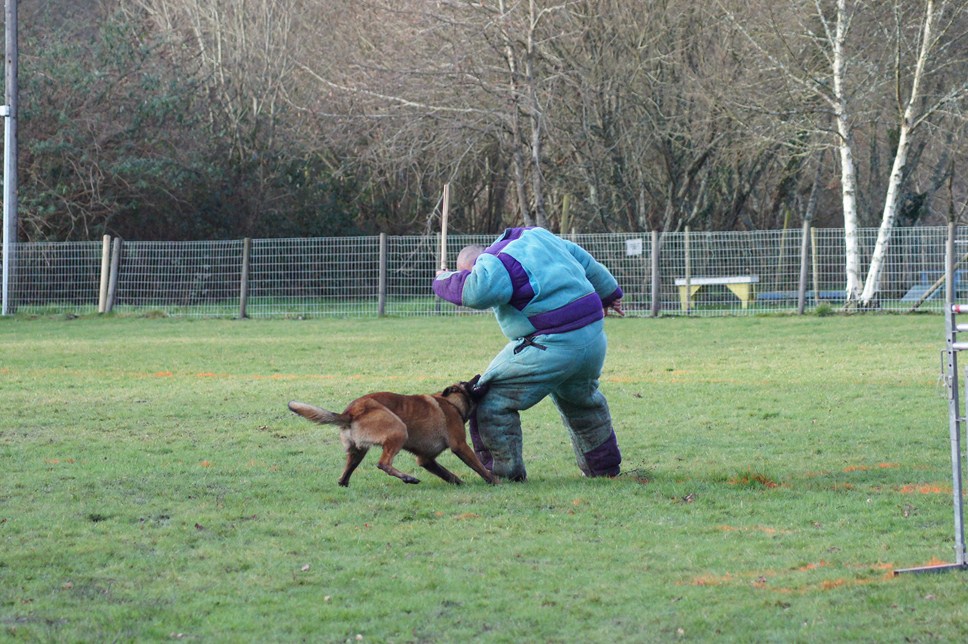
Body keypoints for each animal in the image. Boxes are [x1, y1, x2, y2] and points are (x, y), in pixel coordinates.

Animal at [286, 374, 500, 486]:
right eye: (467, 382)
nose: (479, 375)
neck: (451, 403)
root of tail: (350, 412)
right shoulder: (460, 445)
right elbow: (478, 466)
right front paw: (494, 481)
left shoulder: (425, 459)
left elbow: (446, 473)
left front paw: (459, 483)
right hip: (398, 430)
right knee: (383, 463)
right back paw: (407, 477)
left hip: (358, 452)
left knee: (343, 477)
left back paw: (344, 485)